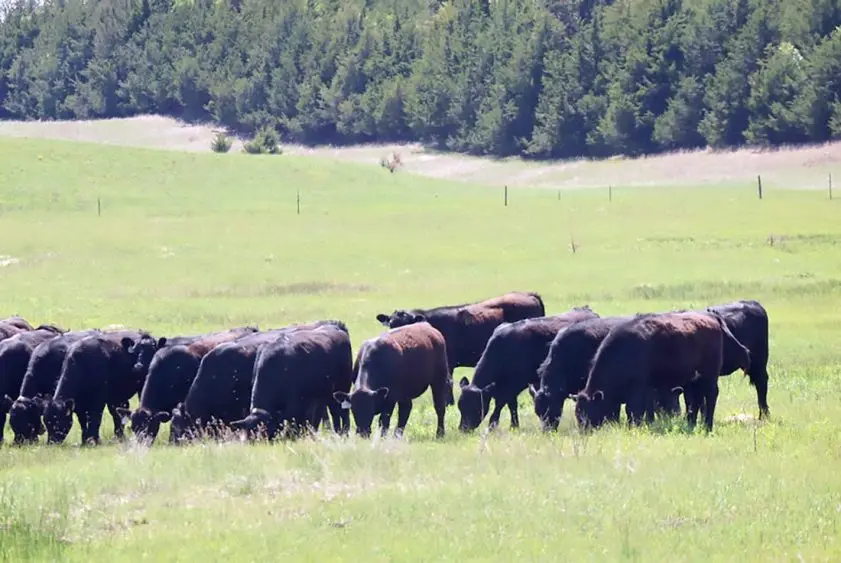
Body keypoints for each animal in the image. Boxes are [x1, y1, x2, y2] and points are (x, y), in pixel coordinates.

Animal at [375, 291, 545, 404]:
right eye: (391, 324)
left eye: (407, 323)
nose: (397, 337)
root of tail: (529, 294)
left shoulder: (447, 364)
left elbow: (448, 383)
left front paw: (449, 403)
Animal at [456, 306, 599, 432]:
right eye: (460, 407)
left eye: (475, 407)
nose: (463, 429)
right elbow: (512, 405)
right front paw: (514, 426)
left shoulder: (512, 385)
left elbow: (501, 403)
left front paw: (493, 425)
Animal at [572, 311, 750, 433]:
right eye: (577, 413)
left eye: (589, 411)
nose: (585, 431)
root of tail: (713, 320)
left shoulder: (638, 389)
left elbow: (634, 411)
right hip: (695, 380)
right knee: (696, 401)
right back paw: (691, 424)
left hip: (710, 377)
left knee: (711, 396)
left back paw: (707, 426)